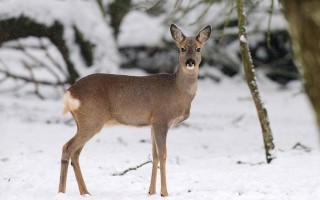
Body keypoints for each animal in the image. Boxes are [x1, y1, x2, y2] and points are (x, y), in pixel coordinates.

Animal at [58, 23, 211, 197]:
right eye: (182, 48)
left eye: (198, 48)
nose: (190, 62)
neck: (177, 90)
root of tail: (70, 92)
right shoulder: (161, 119)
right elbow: (163, 155)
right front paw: (164, 193)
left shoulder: (152, 123)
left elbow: (154, 155)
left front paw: (151, 192)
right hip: (91, 120)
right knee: (67, 147)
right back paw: (62, 192)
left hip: (83, 122)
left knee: (75, 153)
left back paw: (85, 192)